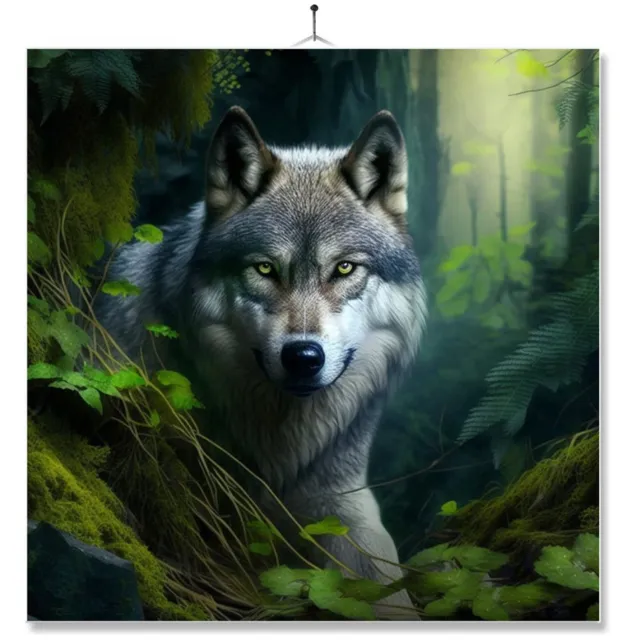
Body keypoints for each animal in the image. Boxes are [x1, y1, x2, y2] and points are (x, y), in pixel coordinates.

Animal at [95, 106, 427, 619]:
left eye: (345, 268)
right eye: (265, 269)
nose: (303, 357)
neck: (280, 449)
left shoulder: (343, 506)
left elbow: (390, 587)